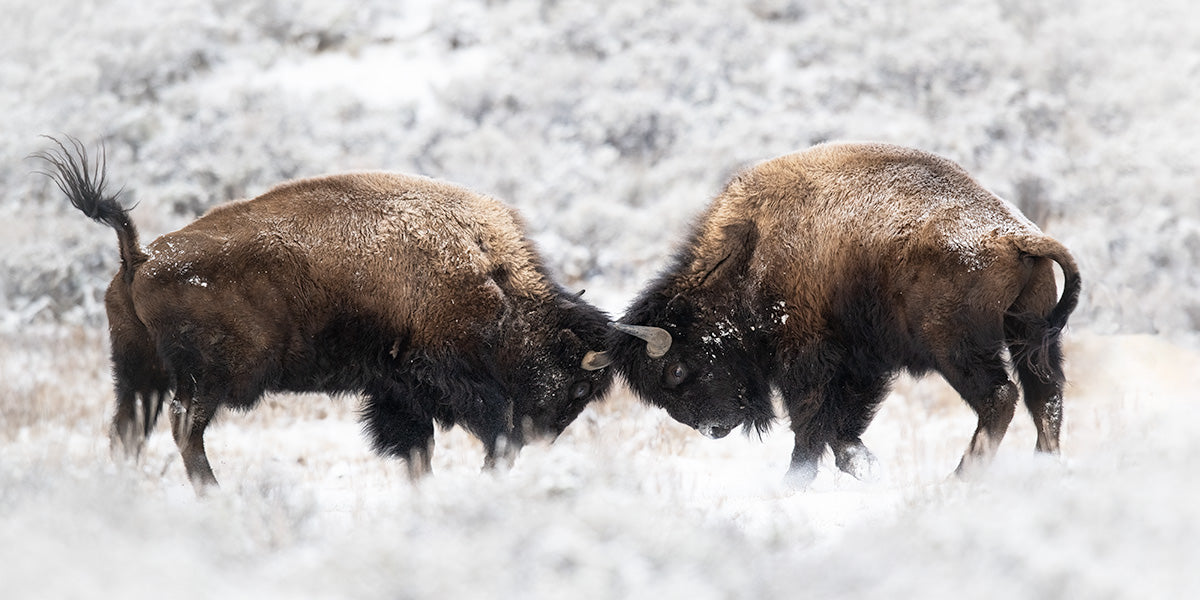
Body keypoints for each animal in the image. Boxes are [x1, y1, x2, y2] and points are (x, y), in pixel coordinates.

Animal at [35, 136, 619, 492]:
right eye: (577, 386)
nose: (539, 437)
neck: (491, 280)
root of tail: (139, 255)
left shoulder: (396, 390)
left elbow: (416, 447)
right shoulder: (448, 384)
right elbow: (469, 432)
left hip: (139, 373)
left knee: (128, 431)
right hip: (212, 378)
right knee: (184, 430)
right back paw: (215, 493)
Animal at [609, 141, 1080, 487]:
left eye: (675, 371)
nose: (712, 428)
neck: (749, 252)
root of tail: (1017, 235)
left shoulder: (808, 356)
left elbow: (811, 421)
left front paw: (795, 482)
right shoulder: (861, 363)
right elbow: (841, 424)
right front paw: (864, 466)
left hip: (956, 348)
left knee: (1000, 397)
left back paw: (959, 477)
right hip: (1031, 336)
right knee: (1045, 396)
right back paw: (1045, 467)